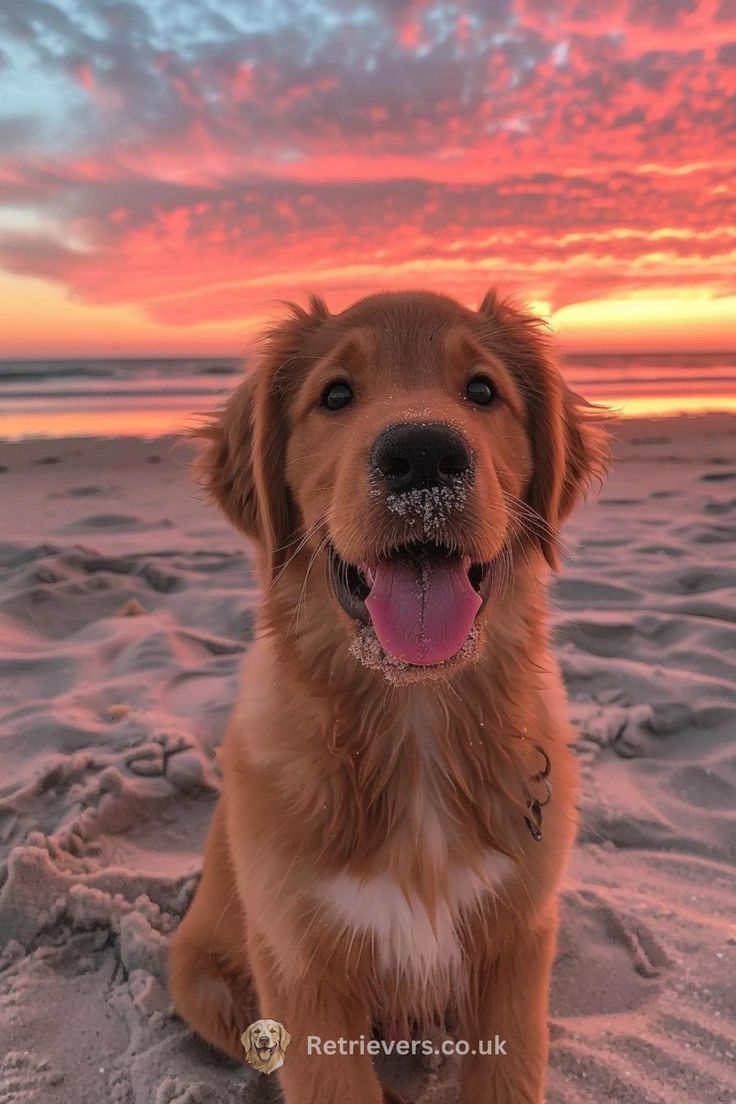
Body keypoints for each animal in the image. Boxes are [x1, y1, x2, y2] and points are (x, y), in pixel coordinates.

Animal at [168, 289, 609, 1099]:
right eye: (336, 395)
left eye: (482, 390)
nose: (425, 455)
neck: (416, 720)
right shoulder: (302, 968)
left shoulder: (517, 946)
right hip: (202, 981)